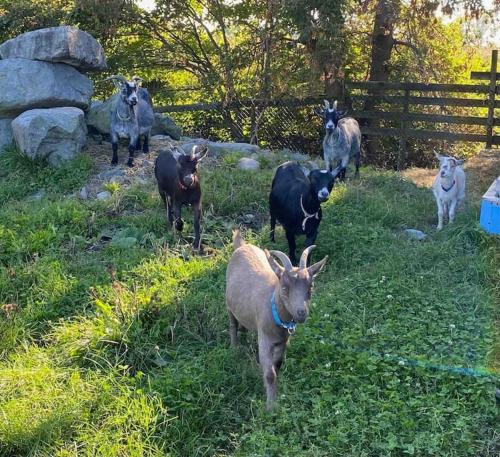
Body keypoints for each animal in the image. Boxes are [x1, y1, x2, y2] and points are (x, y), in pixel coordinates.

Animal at [227, 230, 328, 408]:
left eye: (311, 287)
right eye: (284, 288)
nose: (301, 312)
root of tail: (241, 245)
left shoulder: (283, 341)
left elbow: (278, 366)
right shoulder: (265, 340)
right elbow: (269, 373)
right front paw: (271, 406)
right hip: (228, 304)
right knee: (233, 324)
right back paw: (234, 347)